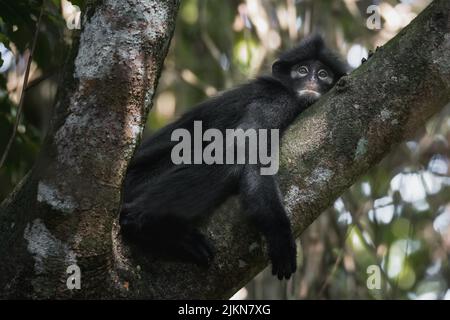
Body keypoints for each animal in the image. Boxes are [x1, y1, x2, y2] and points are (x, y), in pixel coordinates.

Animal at [120, 34, 348, 280]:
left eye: (323, 74)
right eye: (302, 70)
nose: (312, 81)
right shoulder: (277, 101)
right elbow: (242, 150)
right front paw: (280, 235)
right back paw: (144, 223)